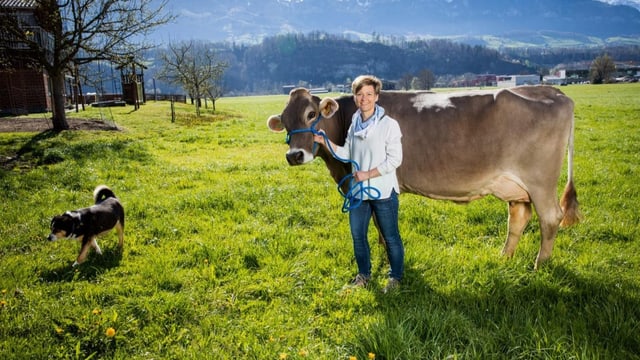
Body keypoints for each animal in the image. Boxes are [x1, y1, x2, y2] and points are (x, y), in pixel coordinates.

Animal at [268, 86, 576, 268]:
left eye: (311, 114)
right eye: (285, 120)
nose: (294, 155)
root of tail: (550, 90)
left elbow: (380, 225)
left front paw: (387, 260)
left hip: (540, 180)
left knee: (550, 217)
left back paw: (539, 265)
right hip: (515, 186)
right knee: (519, 217)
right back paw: (504, 257)